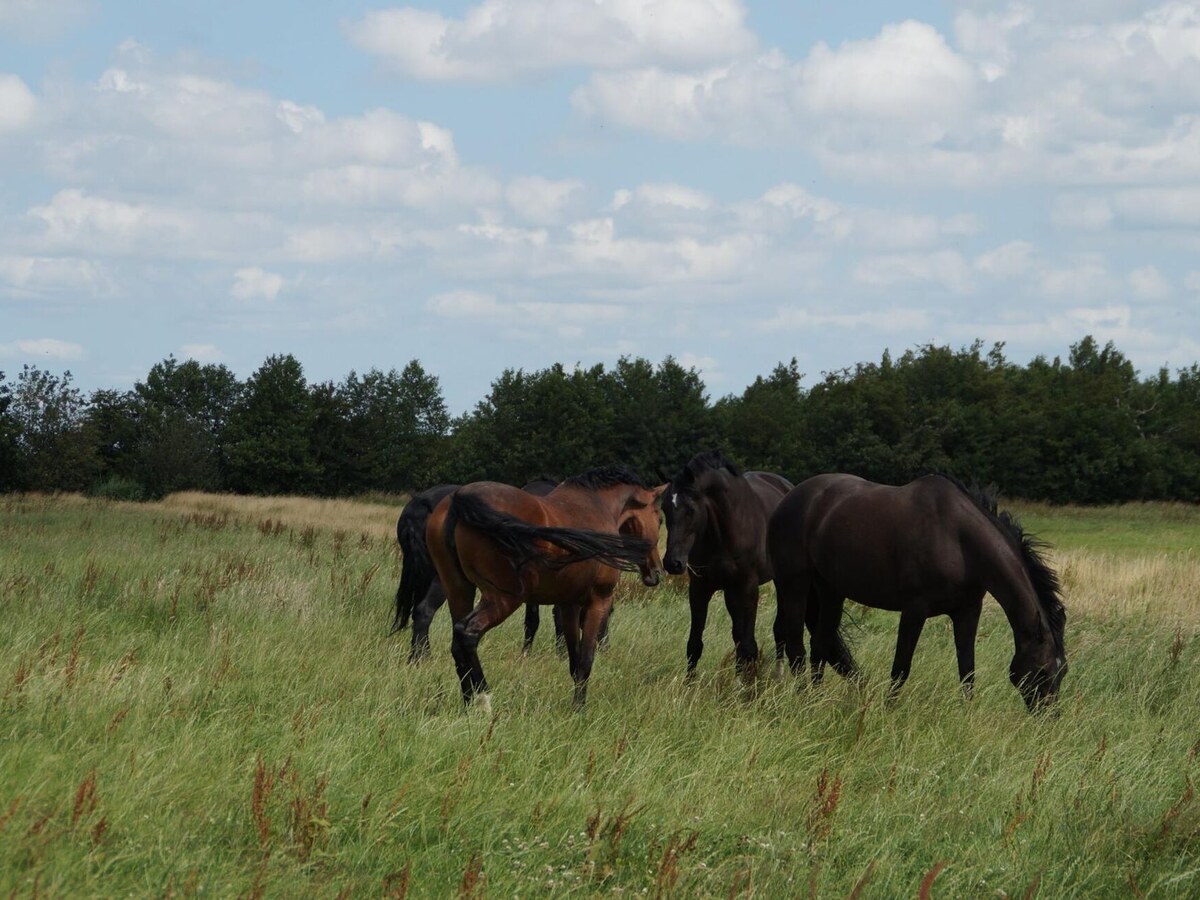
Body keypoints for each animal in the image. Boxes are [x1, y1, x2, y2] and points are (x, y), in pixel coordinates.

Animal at [426, 466, 665, 708]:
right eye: (660, 520)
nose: (656, 572)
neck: (598, 506)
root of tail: (460, 499)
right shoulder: (598, 601)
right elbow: (586, 659)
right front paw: (579, 708)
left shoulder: (569, 605)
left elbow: (574, 661)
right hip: (502, 599)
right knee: (468, 634)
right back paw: (485, 698)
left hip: (459, 591)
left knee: (457, 641)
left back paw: (468, 702)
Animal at [662, 450, 853, 678]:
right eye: (664, 509)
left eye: (690, 509)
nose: (672, 563)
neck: (725, 531)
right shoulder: (700, 588)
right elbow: (695, 644)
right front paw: (689, 684)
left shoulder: (748, 588)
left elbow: (748, 646)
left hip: (781, 582)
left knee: (779, 631)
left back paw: (778, 675)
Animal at [768, 473, 1068, 710]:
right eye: (1042, 671)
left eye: (1062, 671)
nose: (1049, 717)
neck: (959, 541)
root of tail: (788, 498)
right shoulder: (914, 609)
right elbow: (901, 666)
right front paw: (889, 711)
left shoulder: (968, 611)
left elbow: (967, 669)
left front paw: (967, 717)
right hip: (794, 585)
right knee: (795, 645)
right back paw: (804, 701)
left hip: (830, 591)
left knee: (820, 645)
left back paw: (817, 701)